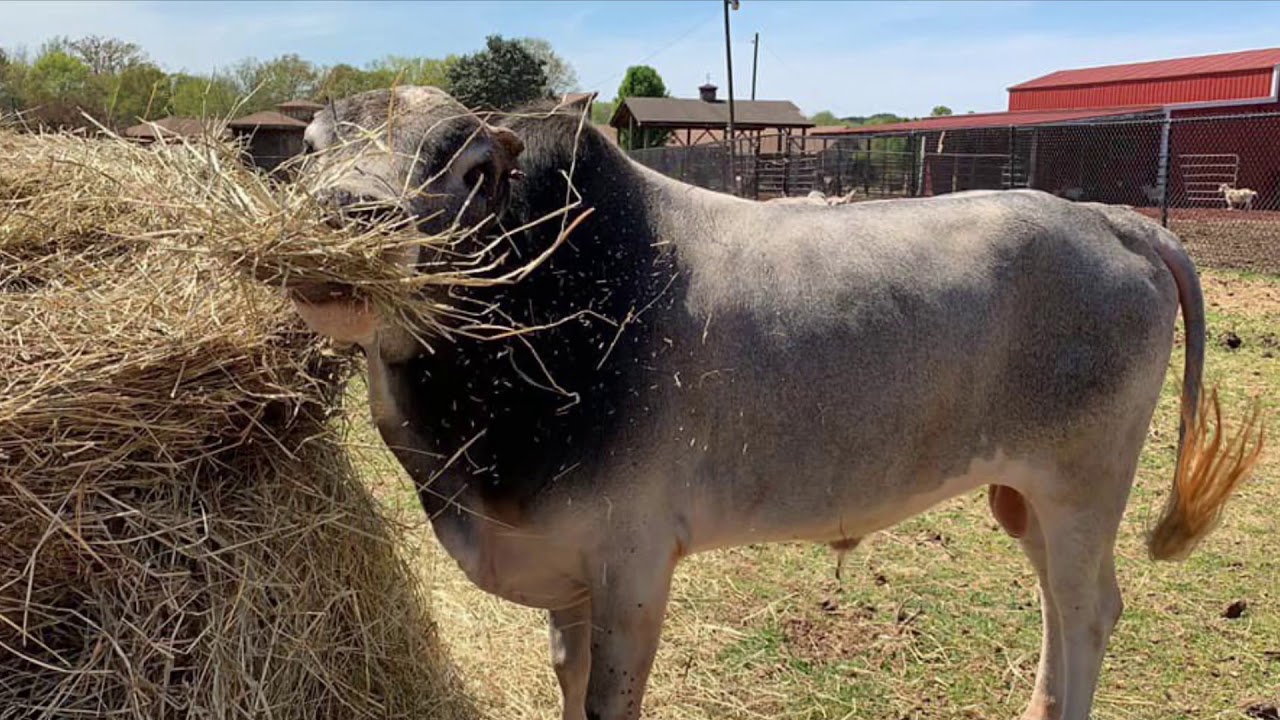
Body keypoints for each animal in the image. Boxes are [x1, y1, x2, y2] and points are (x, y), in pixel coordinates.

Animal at [292, 87, 1262, 720]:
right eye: (308, 147)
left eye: (470, 166)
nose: (342, 218)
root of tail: (1111, 220)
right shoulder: (568, 573)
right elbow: (567, 676)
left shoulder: (632, 567)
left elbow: (608, 698)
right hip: (1024, 497)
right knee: (1065, 609)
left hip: (1080, 487)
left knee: (1089, 610)